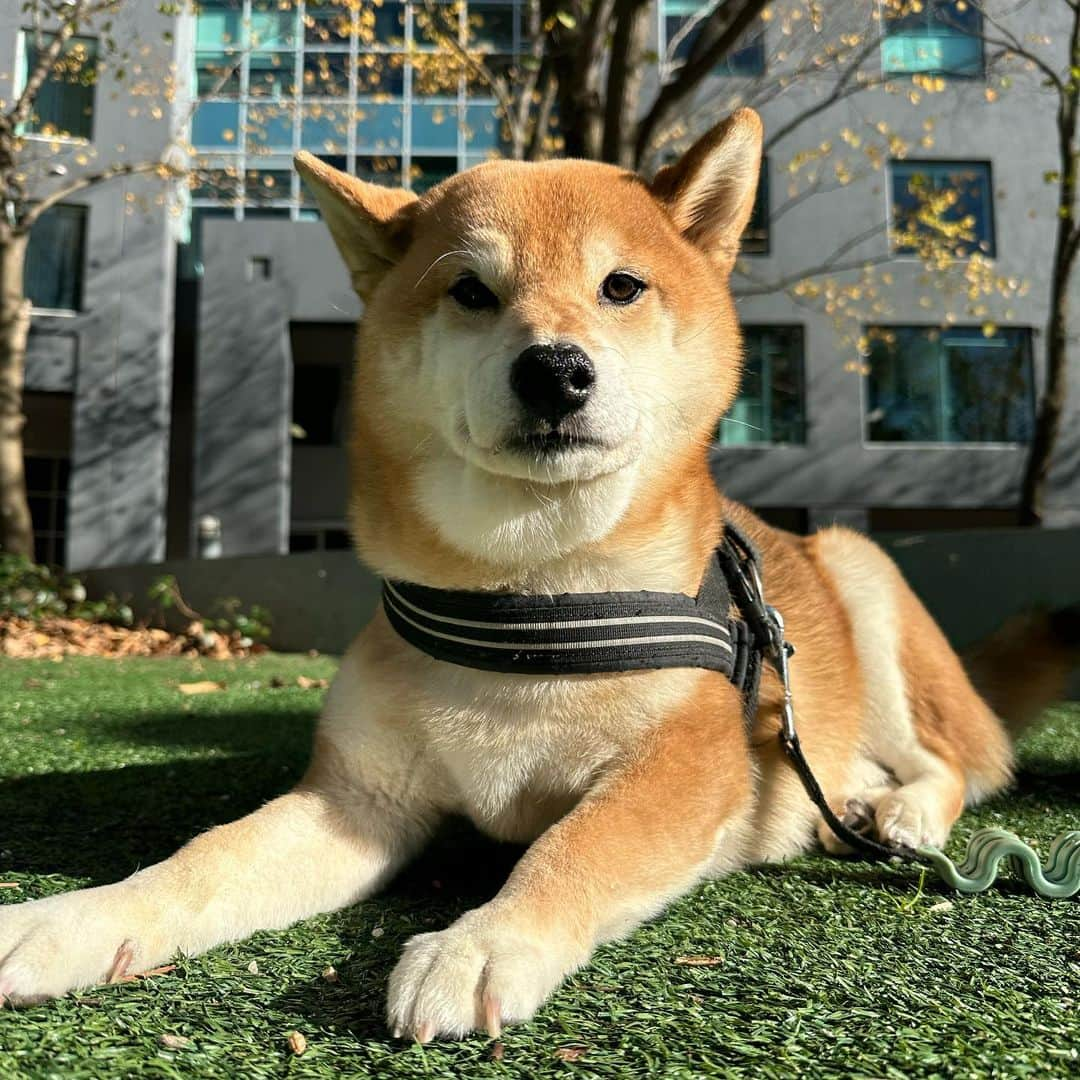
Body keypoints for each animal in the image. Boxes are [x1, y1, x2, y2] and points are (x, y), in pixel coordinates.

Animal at [0, 107, 1071, 1036]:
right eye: (471, 290)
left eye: (622, 287)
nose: (555, 369)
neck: (533, 604)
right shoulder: (356, 800)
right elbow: (204, 859)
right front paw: (77, 918)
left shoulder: (689, 763)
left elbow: (577, 845)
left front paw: (482, 941)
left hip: (862, 581)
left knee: (963, 760)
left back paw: (897, 809)